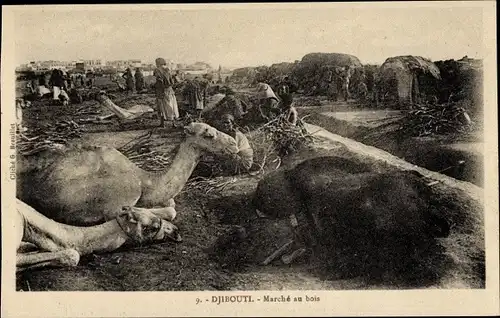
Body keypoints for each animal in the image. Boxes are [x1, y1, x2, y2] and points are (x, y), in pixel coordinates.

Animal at [17, 121, 240, 226]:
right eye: (209, 134)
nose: (234, 144)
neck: (146, 181)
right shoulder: (116, 204)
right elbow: (171, 211)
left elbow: (171, 203)